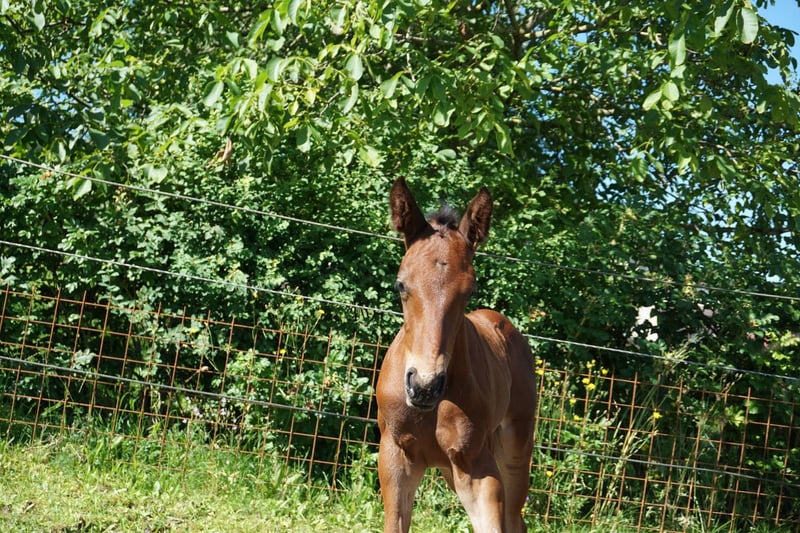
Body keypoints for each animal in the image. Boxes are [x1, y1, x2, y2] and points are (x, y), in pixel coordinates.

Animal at [376, 177, 537, 533]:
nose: (424, 385)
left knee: (514, 518)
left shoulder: (476, 468)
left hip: (515, 450)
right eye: (401, 285)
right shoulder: (395, 458)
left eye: (470, 290)